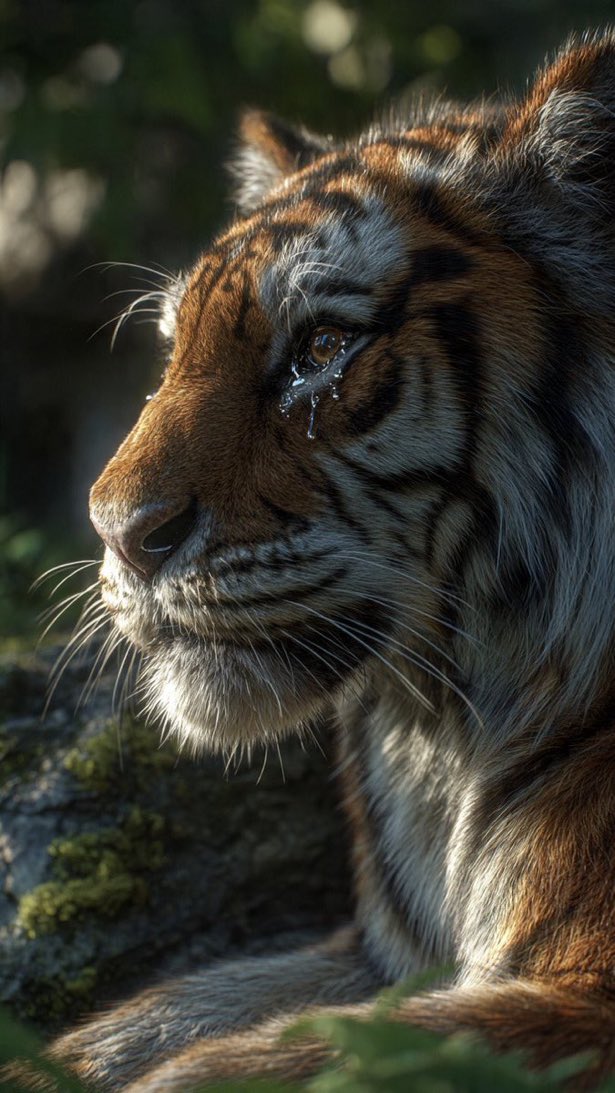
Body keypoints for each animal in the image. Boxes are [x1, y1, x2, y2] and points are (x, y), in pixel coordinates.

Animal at [50, 29, 615, 1092]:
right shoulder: (376, 957)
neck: (442, 740)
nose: (116, 531)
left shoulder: (578, 997)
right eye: (174, 350)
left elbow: (223, 1067)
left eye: (320, 347)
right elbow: (134, 1027)